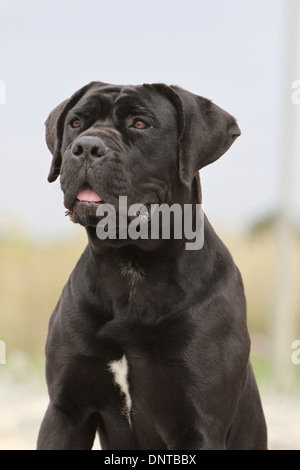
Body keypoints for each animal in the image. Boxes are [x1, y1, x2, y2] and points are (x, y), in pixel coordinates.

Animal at [37, 82, 268, 450]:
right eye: (75, 122)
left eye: (140, 124)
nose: (86, 146)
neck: (131, 266)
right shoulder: (66, 411)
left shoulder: (198, 424)